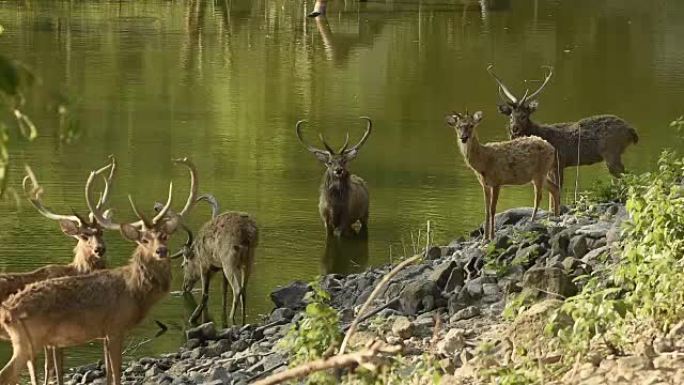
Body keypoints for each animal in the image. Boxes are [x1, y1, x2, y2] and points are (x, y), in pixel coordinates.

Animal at [0, 157, 198, 384]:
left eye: (165, 236)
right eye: (144, 239)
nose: (162, 251)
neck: (135, 292)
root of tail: (8, 312)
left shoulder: (102, 333)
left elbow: (109, 373)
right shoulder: (115, 327)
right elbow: (115, 373)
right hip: (29, 341)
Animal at [168, 194, 260, 326]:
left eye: (183, 265)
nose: (184, 286)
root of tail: (247, 234)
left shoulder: (205, 265)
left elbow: (205, 293)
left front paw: (194, 318)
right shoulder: (220, 267)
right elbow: (223, 290)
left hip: (229, 260)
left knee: (237, 289)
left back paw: (231, 317)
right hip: (248, 260)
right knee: (244, 290)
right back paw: (243, 318)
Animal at [444, 109, 560, 238]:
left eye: (471, 125)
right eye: (458, 126)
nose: (463, 137)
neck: (483, 162)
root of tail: (552, 148)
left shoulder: (497, 180)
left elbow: (493, 209)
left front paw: (492, 236)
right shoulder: (485, 184)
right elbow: (486, 210)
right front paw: (485, 238)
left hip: (540, 172)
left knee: (538, 197)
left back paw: (532, 221)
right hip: (538, 175)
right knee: (555, 188)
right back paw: (556, 218)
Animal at [486, 65, 636, 195]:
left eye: (524, 115)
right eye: (510, 116)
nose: (514, 129)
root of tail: (631, 130)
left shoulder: (559, 162)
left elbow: (559, 189)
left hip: (612, 152)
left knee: (627, 175)